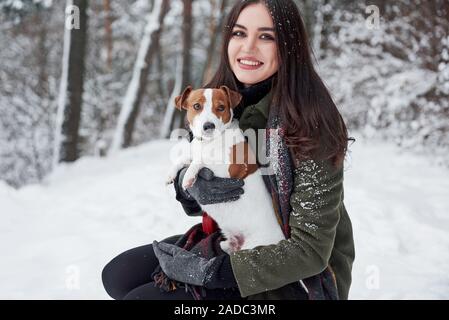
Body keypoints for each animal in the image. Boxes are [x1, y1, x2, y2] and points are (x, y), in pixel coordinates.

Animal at [164, 85, 284, 255]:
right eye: (196, 106)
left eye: (221, 107)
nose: (209, 126)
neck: (210, 141)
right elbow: (185, 157)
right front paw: (171, 174)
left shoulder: (230, 169)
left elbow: (201, 159)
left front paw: (188, 176)